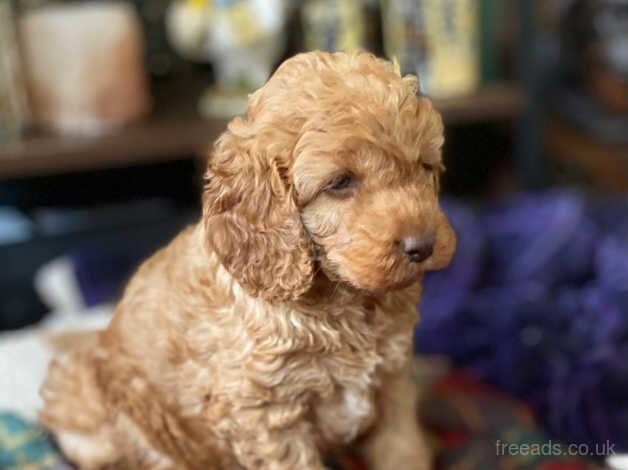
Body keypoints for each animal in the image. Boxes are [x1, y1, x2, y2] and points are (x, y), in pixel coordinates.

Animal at [40, 51, 456, 470]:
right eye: (340, 183)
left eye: (423, 166)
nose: (423, 245)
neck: (343, 302)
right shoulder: (267, 415)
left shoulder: (392, 383)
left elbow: (403, 450)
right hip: (84, 398)